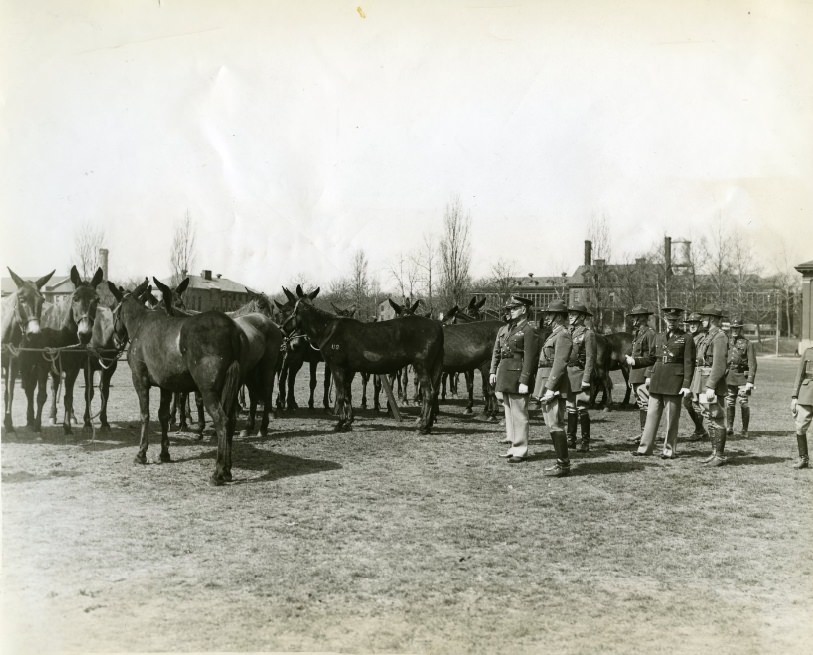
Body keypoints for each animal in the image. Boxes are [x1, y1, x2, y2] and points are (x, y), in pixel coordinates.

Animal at [1, 266, 55, 430]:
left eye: (42, 300)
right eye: (22, 299)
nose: (34, 333)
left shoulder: (13, 361)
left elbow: (9, 392)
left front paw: (8, 423)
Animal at [106, 282, 243, 486]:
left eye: (112, 307)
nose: (115, 339)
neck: (141, 324)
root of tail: (231, 329)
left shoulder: (140, 380)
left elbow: (145, 415)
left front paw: (141, 453)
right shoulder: (165, 385)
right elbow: (163, 416)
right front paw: (164, 453)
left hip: (209, 391)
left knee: (222, 421)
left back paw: (218, 472)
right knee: (232, 420)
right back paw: (227, 470)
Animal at [282, 288, 440, 434]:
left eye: (289, 309)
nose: (282, 329)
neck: (329, 329)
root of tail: (437, 327)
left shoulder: (337, 367)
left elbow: (341, 394)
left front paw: (340, 423)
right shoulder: (347, 370)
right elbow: (347, 394)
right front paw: (348, 422)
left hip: (421, 366)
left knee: (428, 393)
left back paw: (423, 426)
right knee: (433, 392)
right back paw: (427, 423)